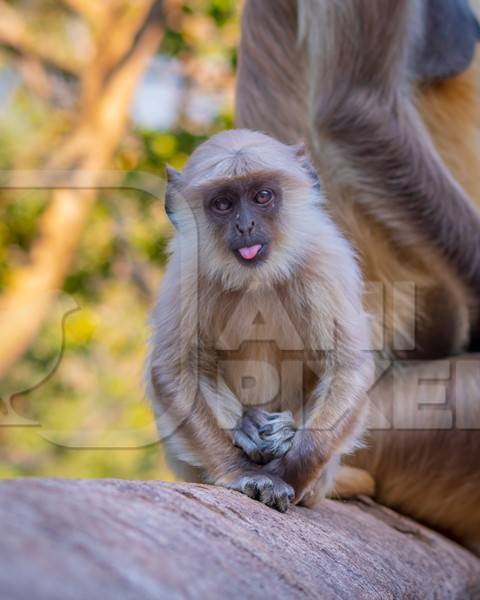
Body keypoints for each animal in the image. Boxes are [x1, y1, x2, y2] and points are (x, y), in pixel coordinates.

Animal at [148, 130, 374, 510]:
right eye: (223, 204)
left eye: (262, 196)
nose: (245, 225)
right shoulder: (188, 267)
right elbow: (173, 369)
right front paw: (243, 471)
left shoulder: (324, 258)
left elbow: (348, 366)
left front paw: (287, 471)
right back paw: (249, 426)